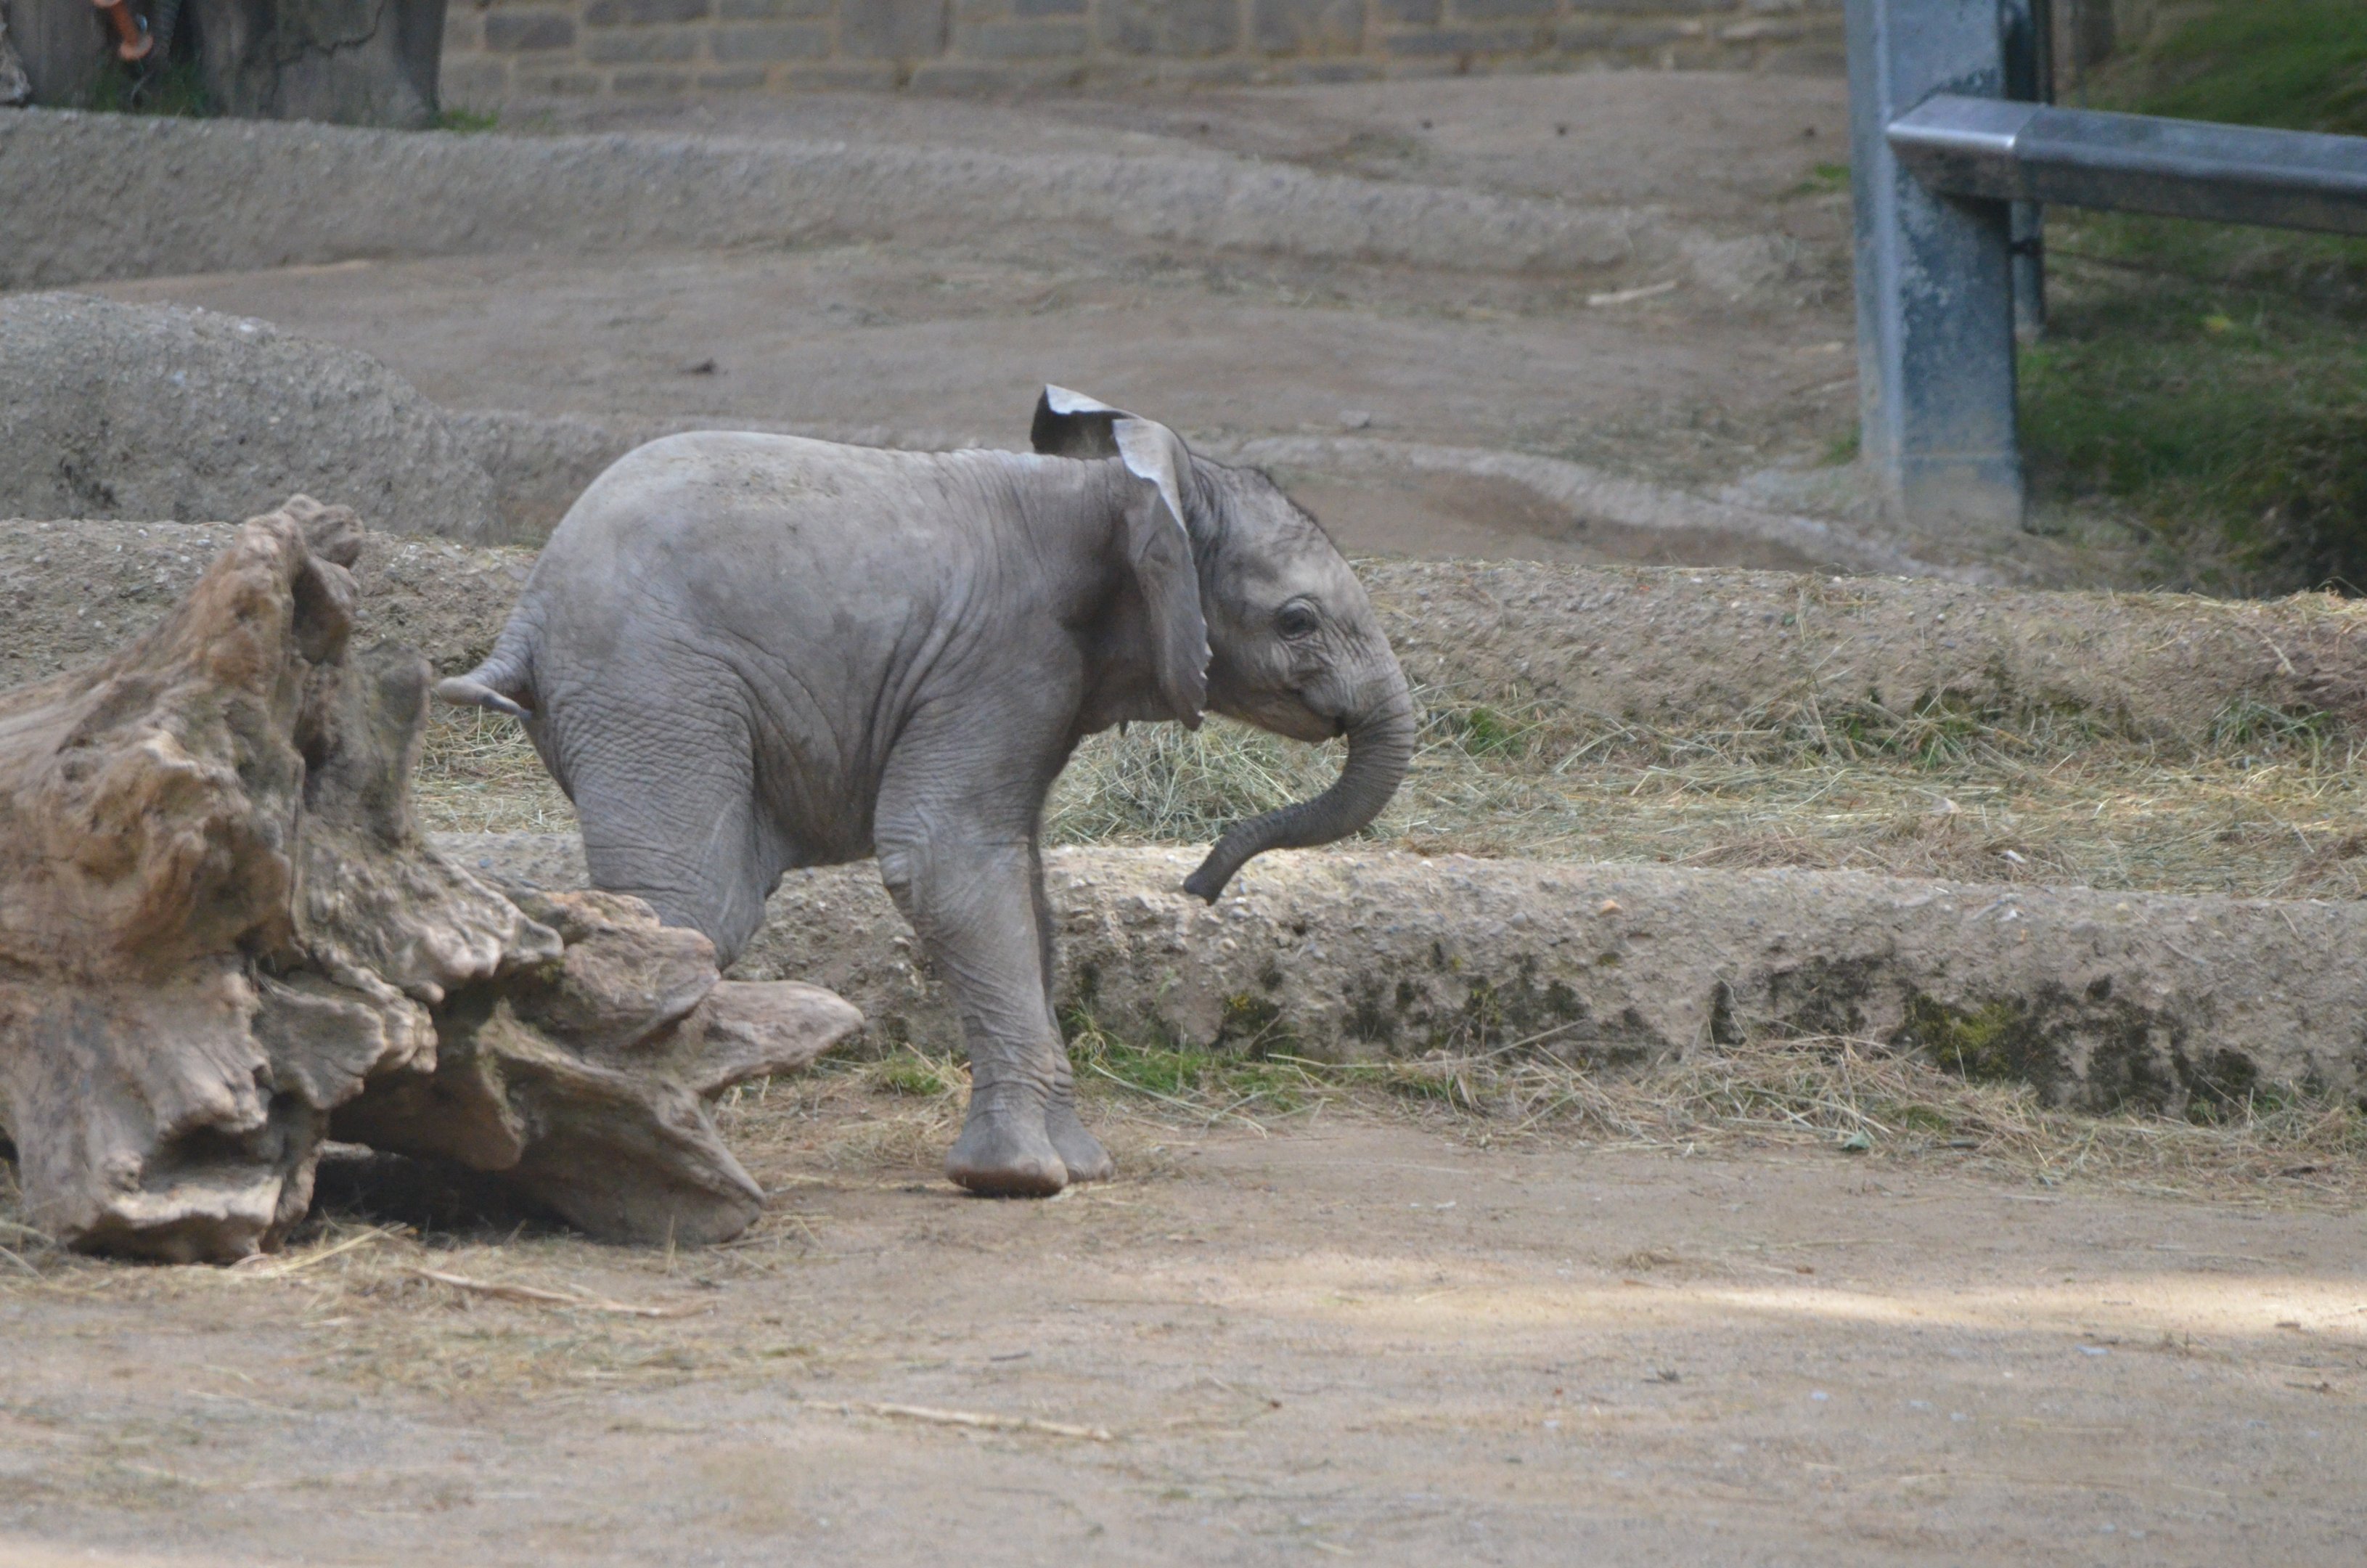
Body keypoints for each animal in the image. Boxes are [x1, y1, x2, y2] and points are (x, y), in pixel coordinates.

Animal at [436, 387, 1415, 1197]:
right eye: (1297, 622)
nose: (1197, 887)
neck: (1111, 491)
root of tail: (528, 607)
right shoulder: (1003, 657)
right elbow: (945, 861)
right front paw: (1018, 1180)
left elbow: (1022, 883)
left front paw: (1080, 1168)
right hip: (652, 682)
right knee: (691, 904)